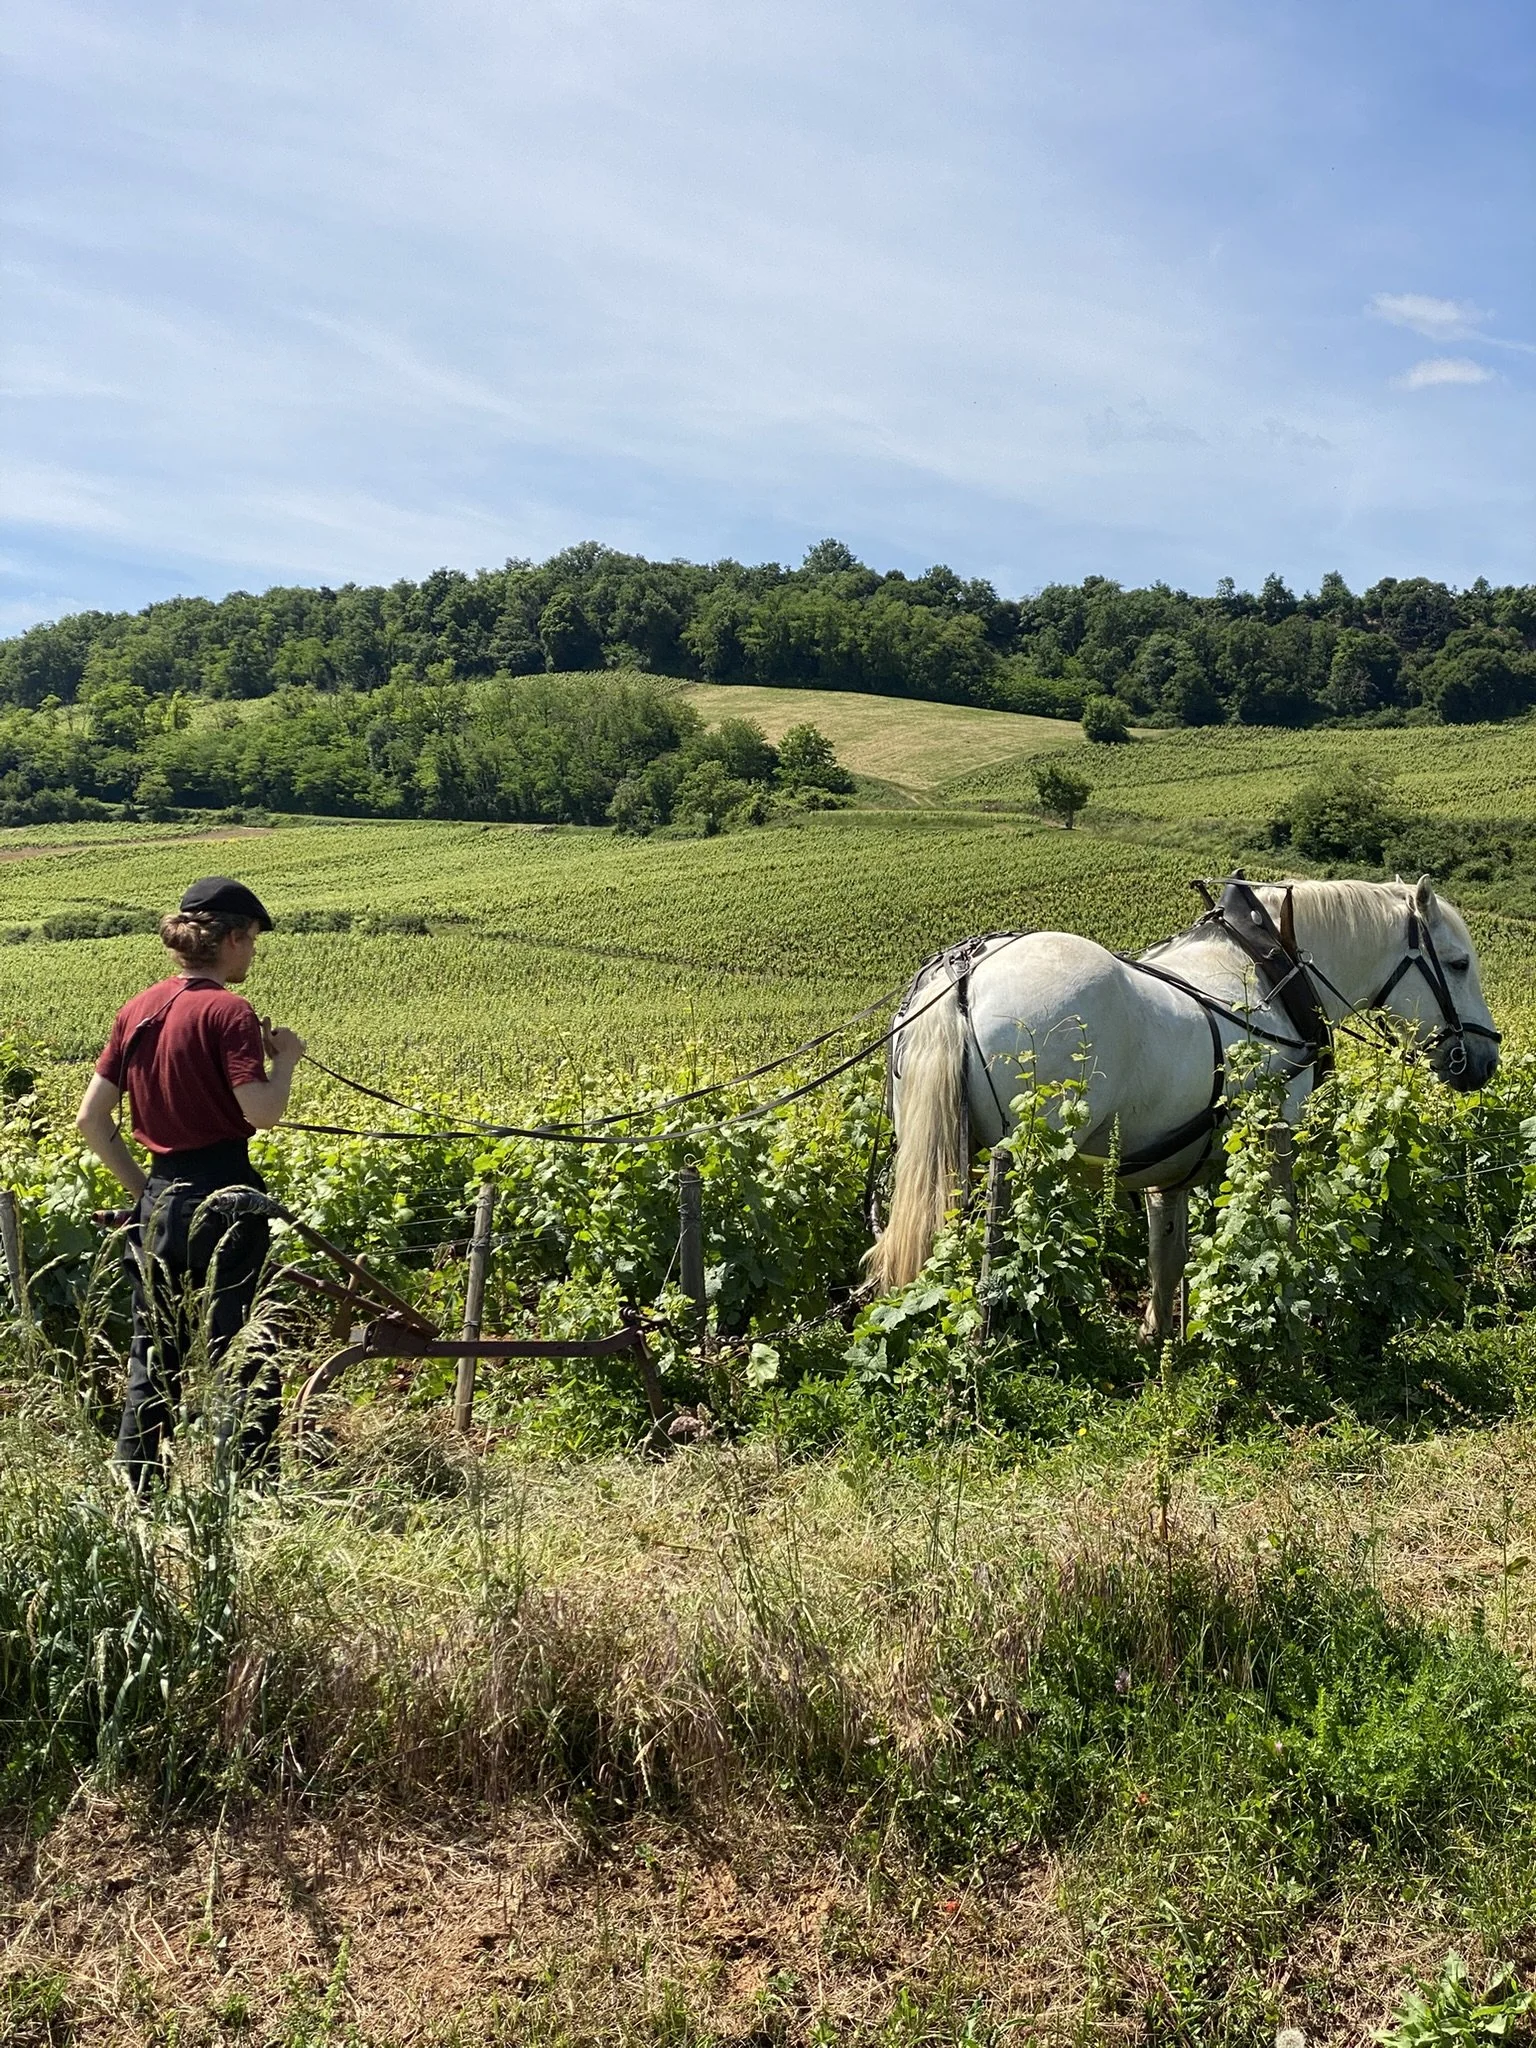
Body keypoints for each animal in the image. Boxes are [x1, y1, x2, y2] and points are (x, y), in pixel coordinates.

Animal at [867, 876, 1501, 1340]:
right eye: (1459, 963)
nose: (1485, 1059)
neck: (1274, 971)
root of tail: (961, 976)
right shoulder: (1272, 1135)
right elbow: (1276, 1225)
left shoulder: (1166, 1163)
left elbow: (1166, 1253)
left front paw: (1160, 1335)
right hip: (1019, 1158)